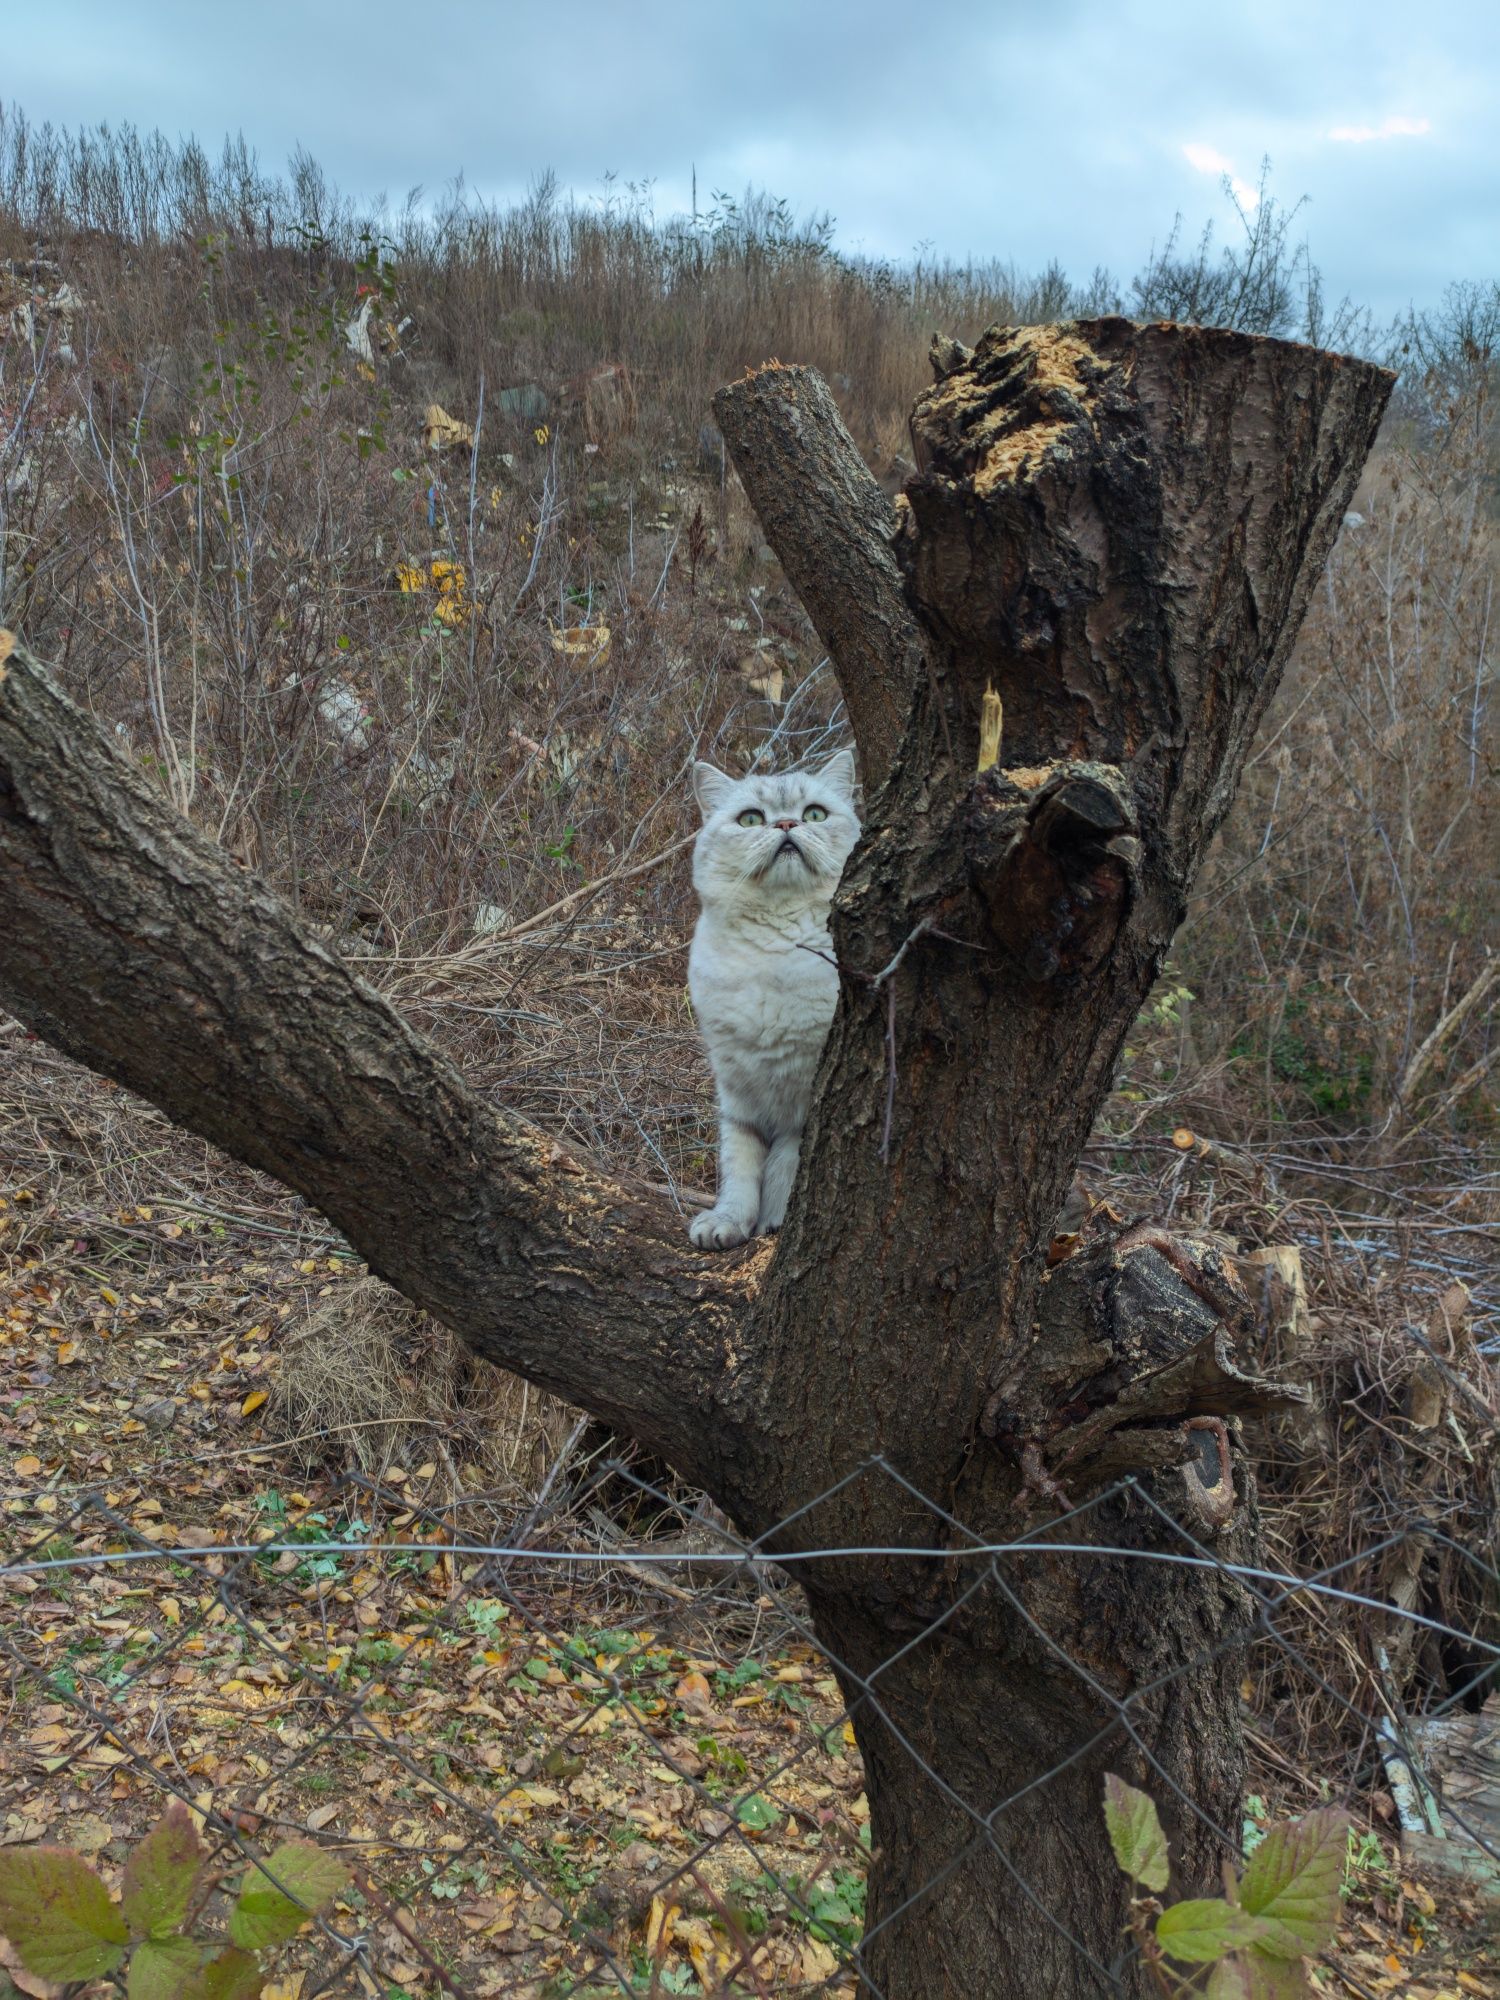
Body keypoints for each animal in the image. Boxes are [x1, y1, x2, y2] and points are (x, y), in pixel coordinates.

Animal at [688, 752, 864, 1248]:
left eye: (815, 814)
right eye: (751, 819)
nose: (786, 824)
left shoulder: (808, 1096)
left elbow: (787, 1162)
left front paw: (776, 1222)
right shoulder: (737, 1087)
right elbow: (740, 1162)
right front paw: (728, 1221)